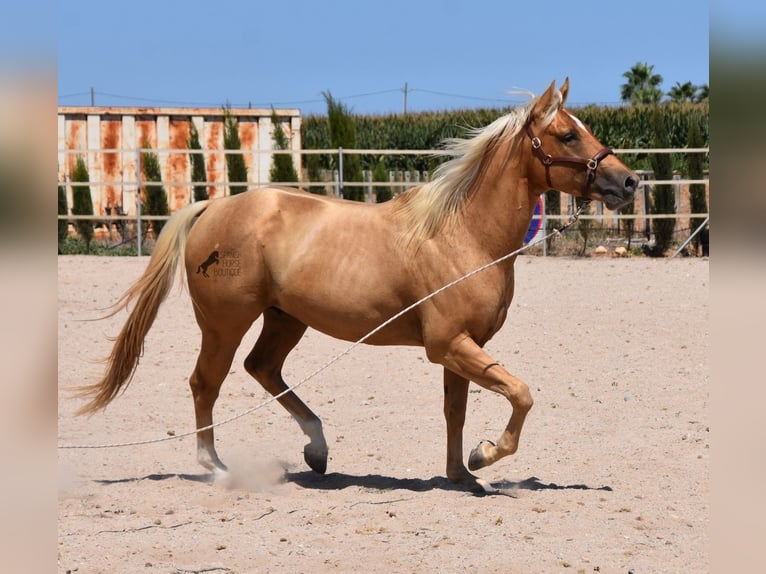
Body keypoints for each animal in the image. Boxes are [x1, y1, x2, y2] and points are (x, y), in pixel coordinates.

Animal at [79, 80, 640, 496]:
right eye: (568, 136)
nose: (629, 182)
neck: (463, 235)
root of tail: (213, 207)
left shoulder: (462, 347)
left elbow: (455, 412)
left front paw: (462, 475)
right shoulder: (449, 345)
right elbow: (520, 395)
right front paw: (485, 456)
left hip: (286, 319)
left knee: (262, 369)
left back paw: (317, 450)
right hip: (225, 322)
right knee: (206, 383)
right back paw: (216, 466)